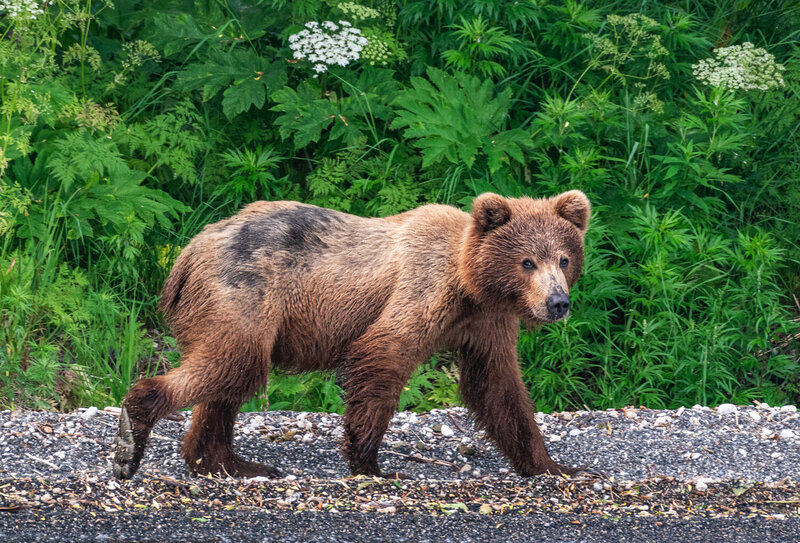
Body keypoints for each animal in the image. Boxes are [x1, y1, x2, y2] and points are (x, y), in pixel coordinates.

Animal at [112, 190, 591, 480]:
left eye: (564, 258)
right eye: (527, 261)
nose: (558, 303)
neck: (471, 283)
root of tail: (188, 251)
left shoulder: (487, 323)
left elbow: (498, 386)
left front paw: (556, 466)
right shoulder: (423, 287)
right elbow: (383, 354)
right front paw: (372, 462)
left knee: (230, 377)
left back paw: (231, 462)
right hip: (245, 294)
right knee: (233, 364)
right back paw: (134, 430)